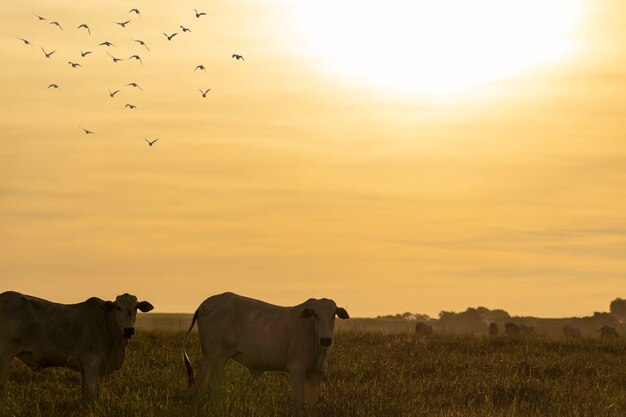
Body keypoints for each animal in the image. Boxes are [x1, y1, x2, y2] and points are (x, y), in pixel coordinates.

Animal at [0, 290, 152, 404]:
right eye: (118, 307)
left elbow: (87, 394)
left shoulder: (85, 368)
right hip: (4, 356)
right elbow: (92, 394)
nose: (128, 330)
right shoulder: (91, 363)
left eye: (136, 307)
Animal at [180, 292, 348, 416]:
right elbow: (300, 402)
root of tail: (206, 303)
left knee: (199, 386)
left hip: (208, 358)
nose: (326, 340)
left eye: (333, 315)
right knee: (212, 388)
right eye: (316, 315)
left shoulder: (315, 373)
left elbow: (312, 403)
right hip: (217, 359)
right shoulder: (297, 369)